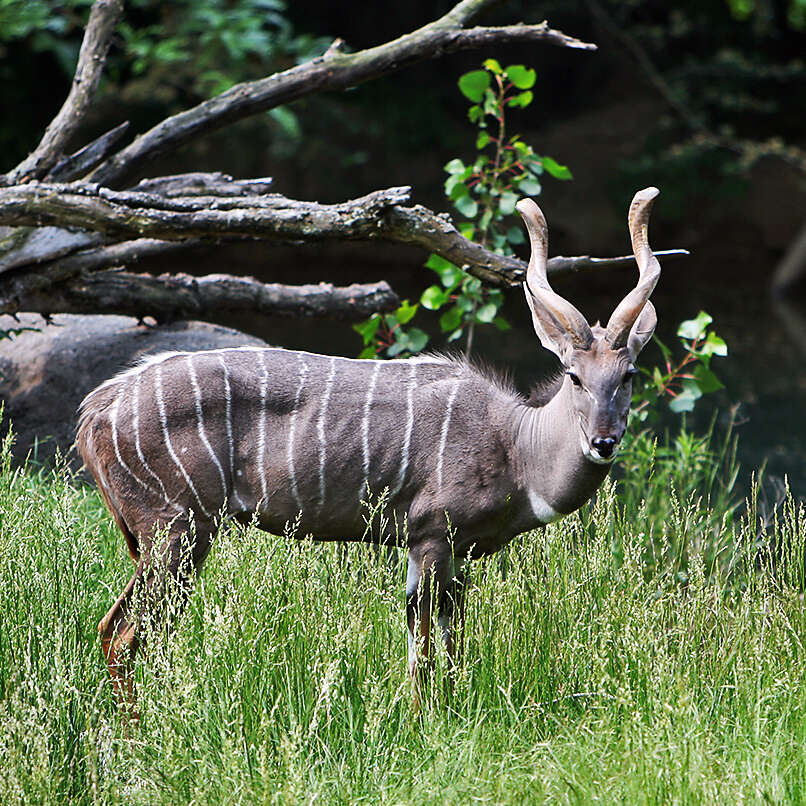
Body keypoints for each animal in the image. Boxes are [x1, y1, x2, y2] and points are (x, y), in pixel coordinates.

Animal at [77, 185, 664, 700]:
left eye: (629, 374)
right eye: (573, 375)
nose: (604, 441)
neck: (516, 446)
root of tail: (96, 410)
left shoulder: (457, 555)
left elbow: (450, 651)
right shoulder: (430, 536)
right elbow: (422, 656)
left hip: (161, 540)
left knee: (127, 631)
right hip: (177, 530)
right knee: (125, 635)